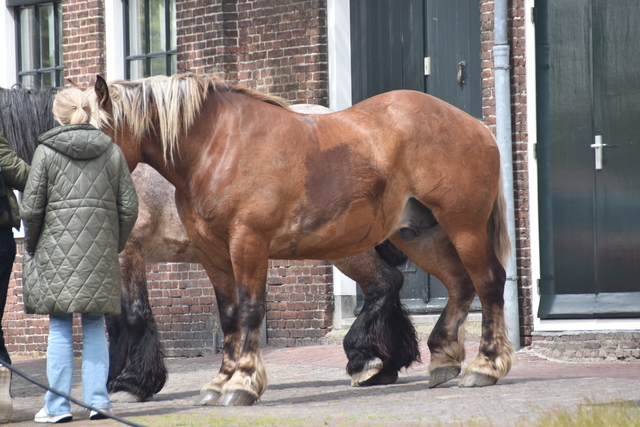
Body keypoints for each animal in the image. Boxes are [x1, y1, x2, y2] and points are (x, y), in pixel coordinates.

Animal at [89, 73, 516, 408]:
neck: (217, 146)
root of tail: (473, 125)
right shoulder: (212, 253)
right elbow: (228, 316)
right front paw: (219, 381)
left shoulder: (247, 243)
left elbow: (249, 311)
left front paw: (243, 383)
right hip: (420, 236)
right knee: (458, 285)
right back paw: (440, 359)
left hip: (463, 228)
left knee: (487, 282)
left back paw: (485, 365)